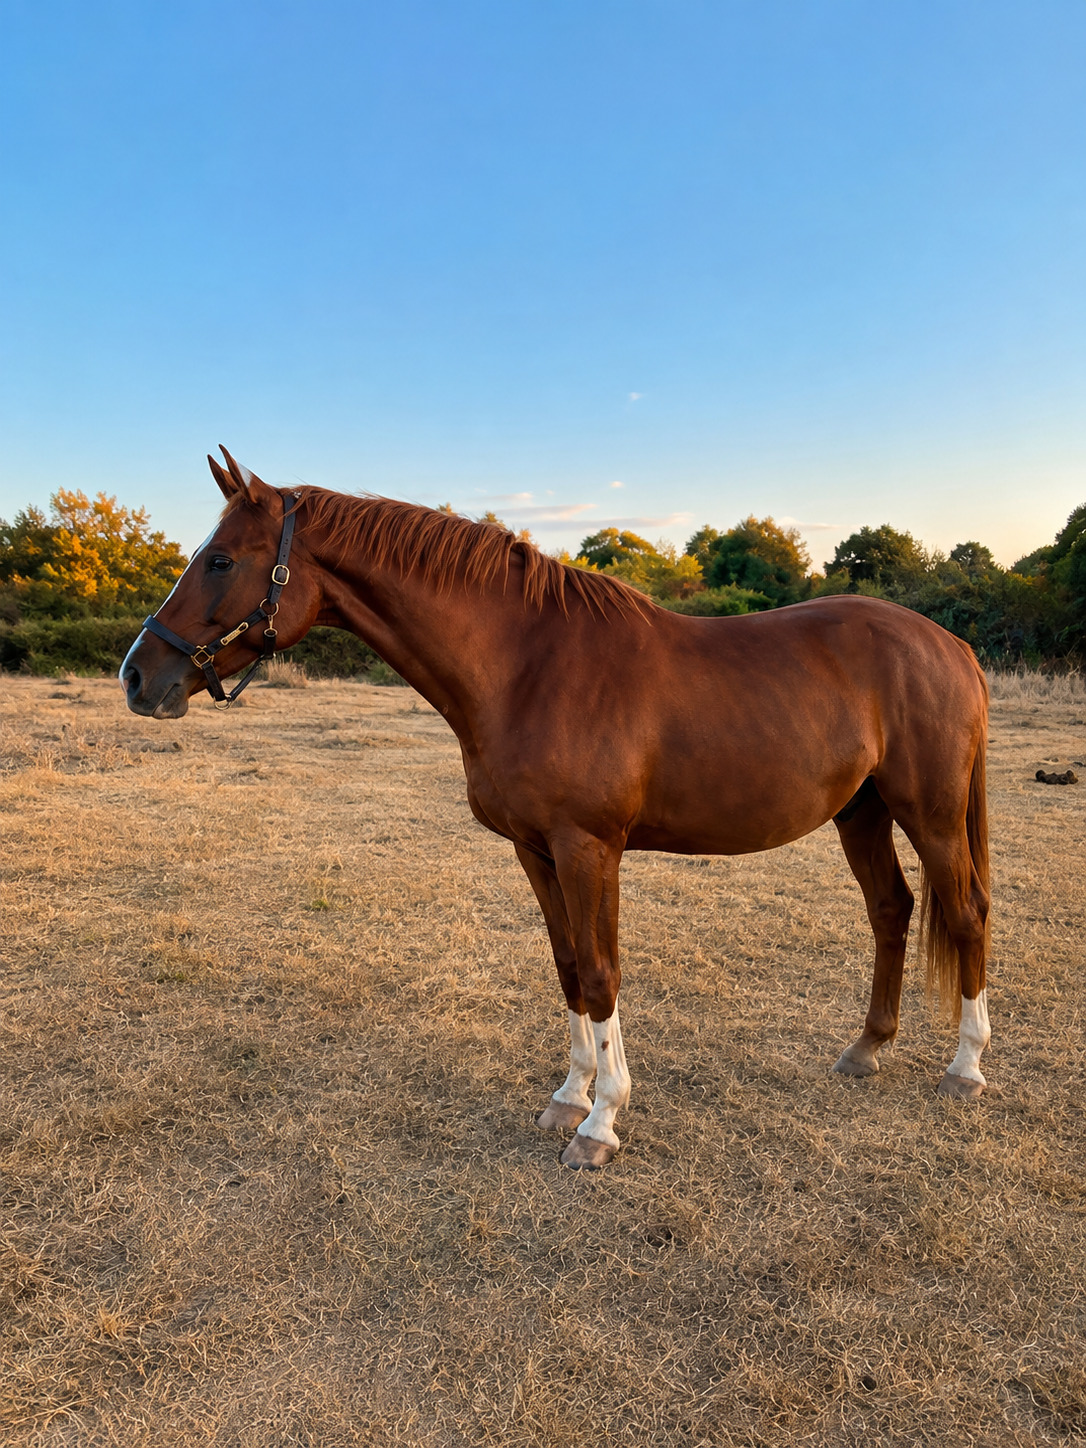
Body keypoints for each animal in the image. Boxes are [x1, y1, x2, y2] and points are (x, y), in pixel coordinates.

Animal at [121, 449, 992, 1168]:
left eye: (220, 559)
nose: (138, 676)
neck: (528, 665)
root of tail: (950, 647)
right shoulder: (533, 848)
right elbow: (568, 966)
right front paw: (569, 1097)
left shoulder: (588, 848)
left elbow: (602, 974)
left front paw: (601, 1124)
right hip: (862, 812)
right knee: (891, 909)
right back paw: (867, 1049)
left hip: (932, 814)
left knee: (965, 912)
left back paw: (965, 1068)